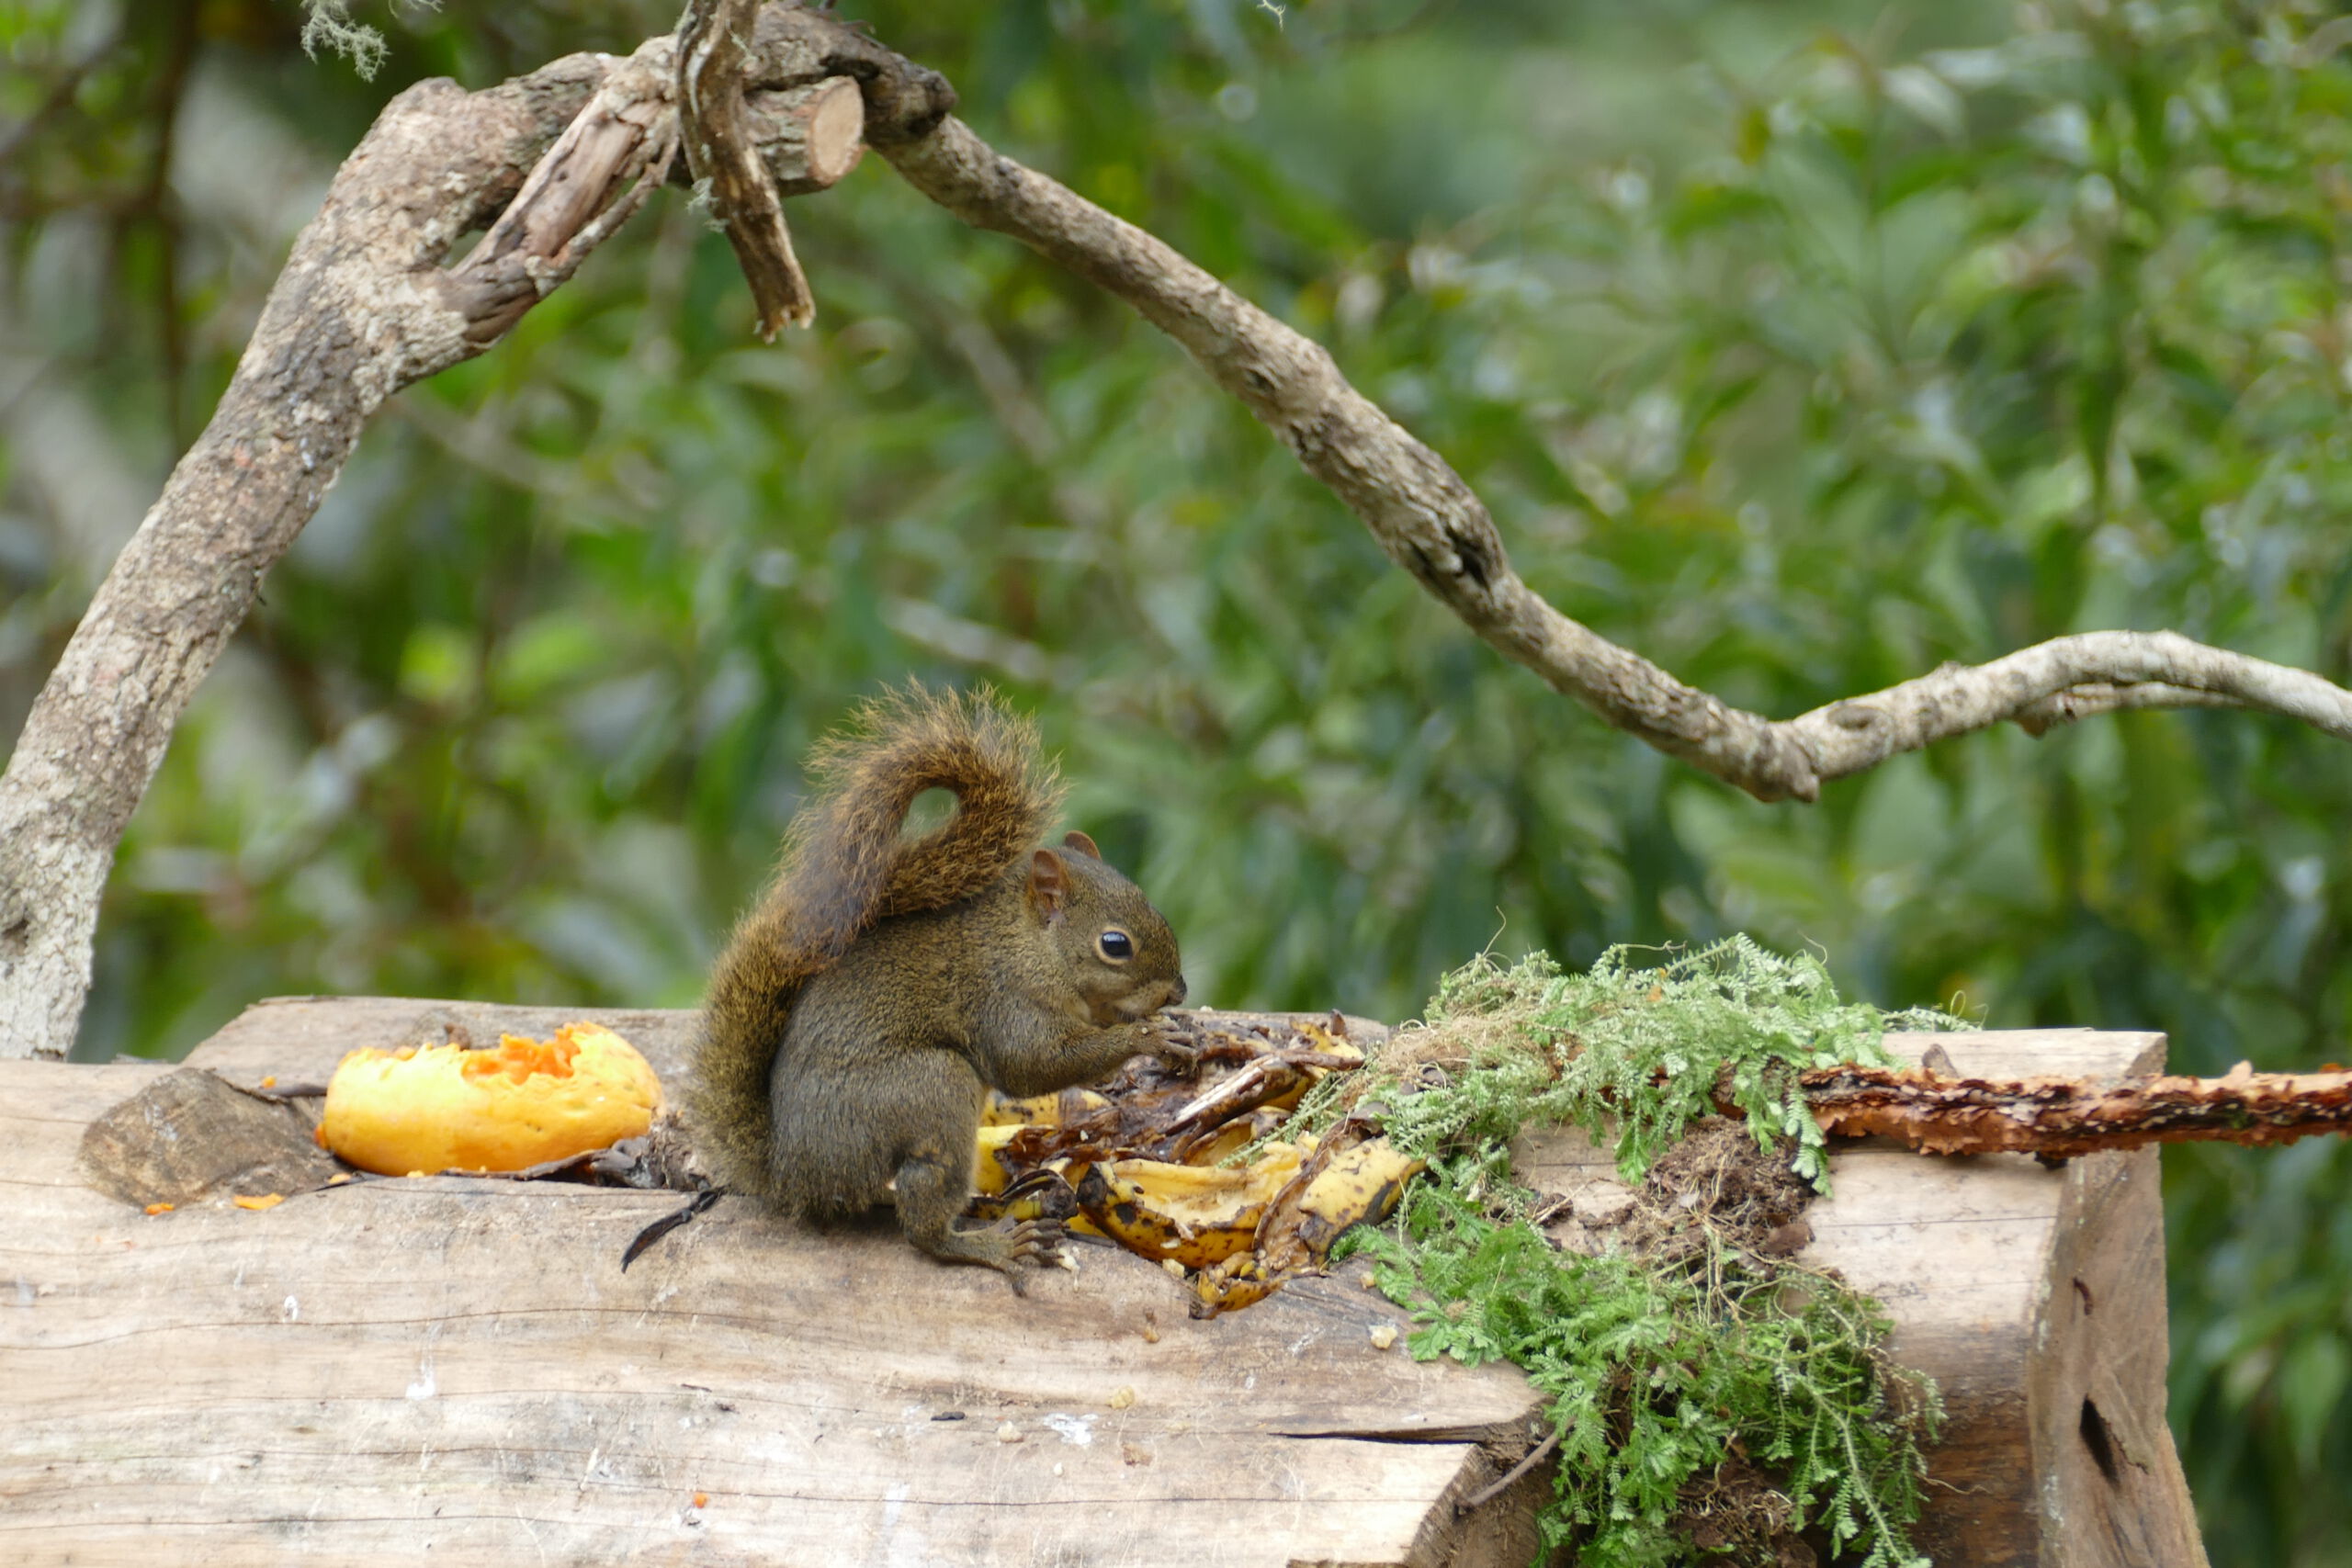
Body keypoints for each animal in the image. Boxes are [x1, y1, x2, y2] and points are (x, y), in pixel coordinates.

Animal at [686, 691, 1185, 1279]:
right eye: (1115, 944)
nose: (1178, 991)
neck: (1029, 945)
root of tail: (791, 1172)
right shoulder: (1004, 1000)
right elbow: (1032, 1064)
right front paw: (1146, 1037)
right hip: (930, 1090)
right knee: (923, 1224)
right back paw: (991, 1245)